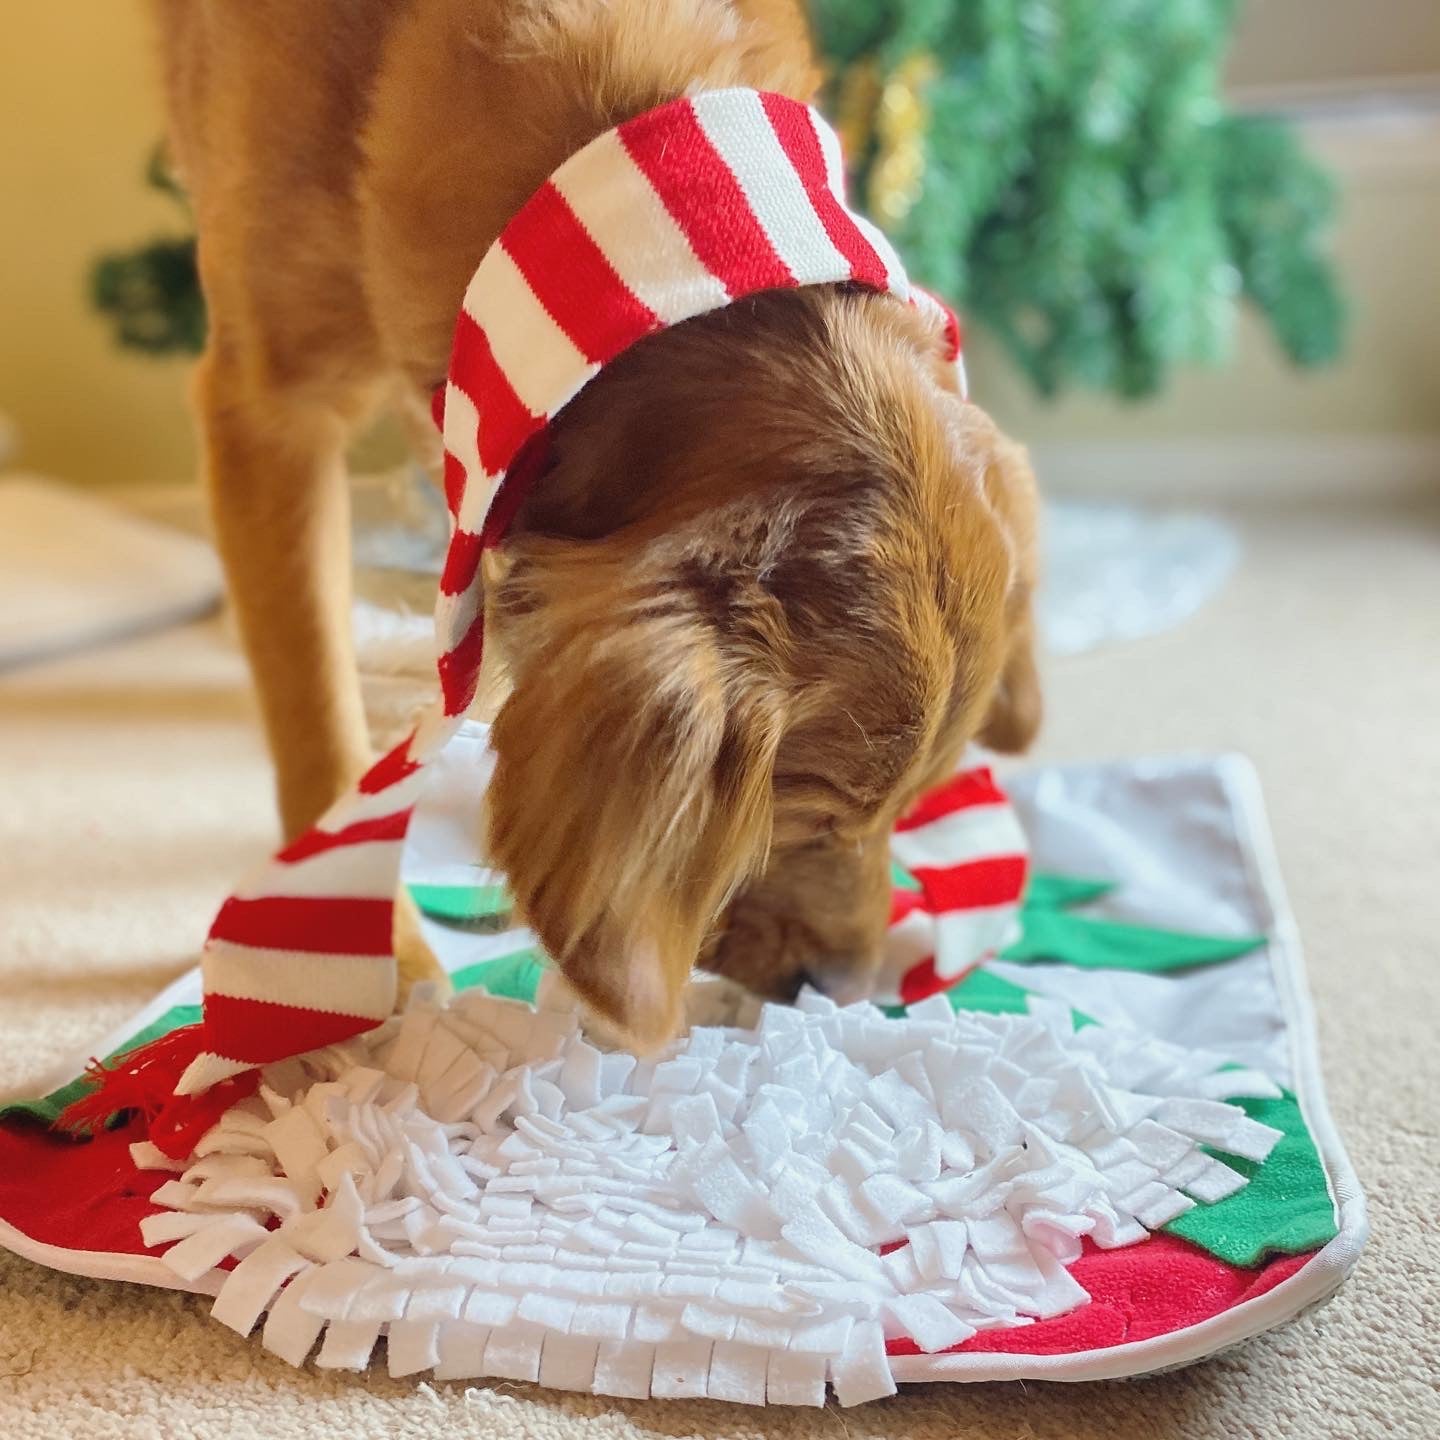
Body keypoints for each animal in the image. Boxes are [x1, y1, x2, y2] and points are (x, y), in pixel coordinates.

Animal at [154, 0, 1036, 1042]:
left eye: (917, 802)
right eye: (804, 817)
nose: (847, 986)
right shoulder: (269, 412)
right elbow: (315, 711)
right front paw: (362, 962)